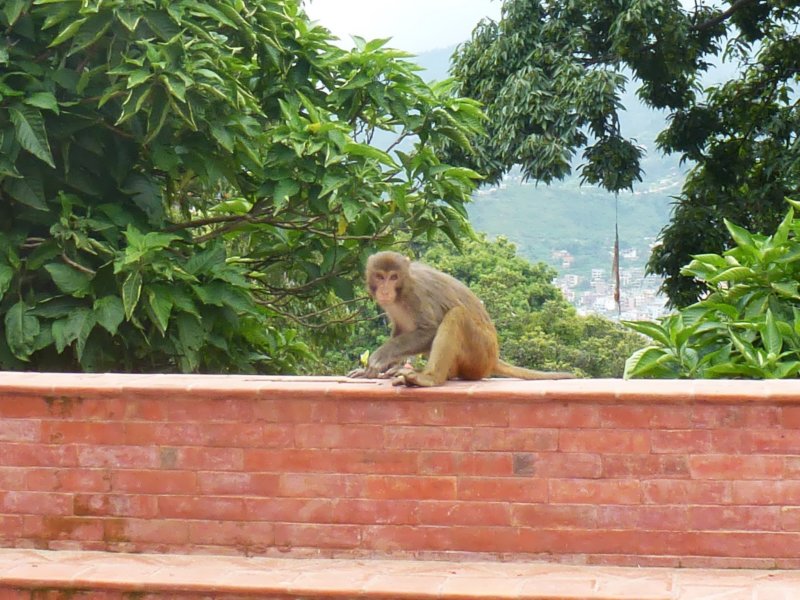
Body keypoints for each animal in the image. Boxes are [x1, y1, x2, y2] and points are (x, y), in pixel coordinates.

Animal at [348, 251, 576, 386]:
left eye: (393, 277)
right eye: (380, 276)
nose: (385, 290)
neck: (402, 291)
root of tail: (493, 357)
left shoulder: (416, 296)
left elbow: (429, 330)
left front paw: (381, 357)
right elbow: (400, 331)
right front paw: (382, 367)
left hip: (479, 354)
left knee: (456, 315)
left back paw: (430, 378)